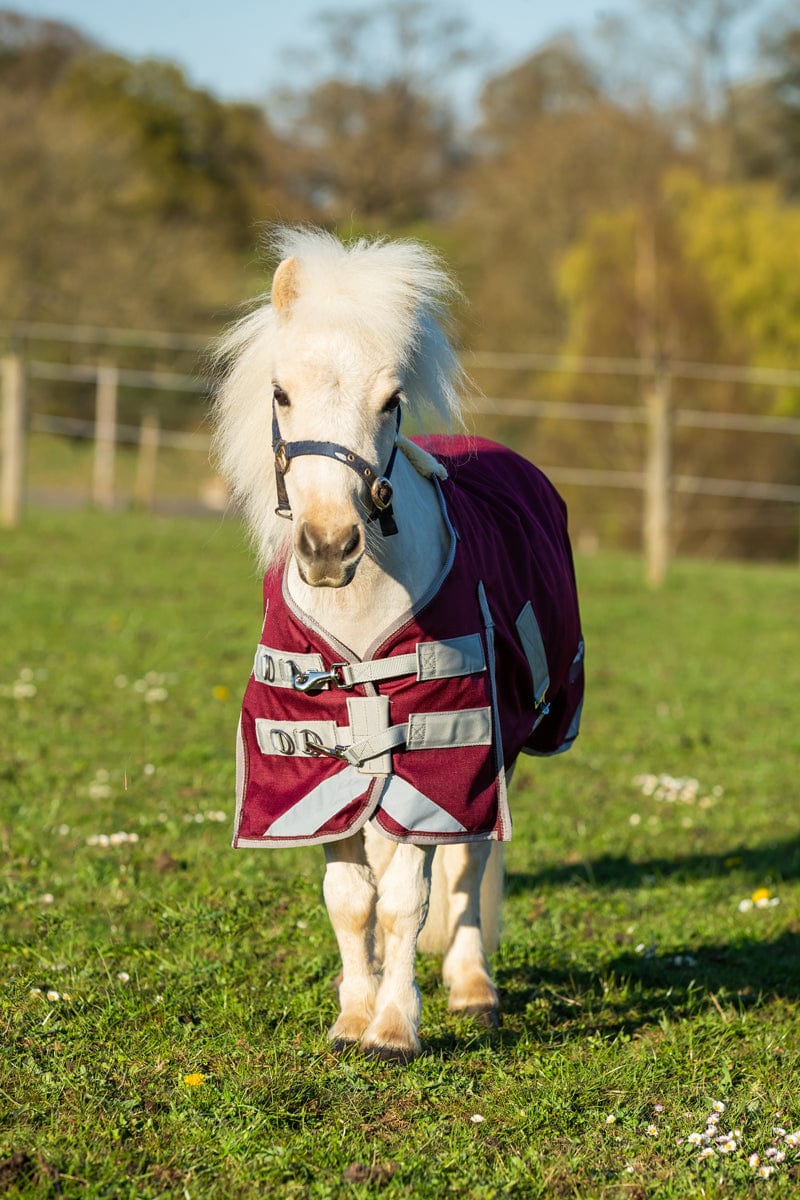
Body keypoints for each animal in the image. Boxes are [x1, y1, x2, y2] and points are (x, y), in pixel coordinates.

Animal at [212, 227, 584, 1063]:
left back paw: (473, 989)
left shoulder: (441, 757)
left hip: (495, 752)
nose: (327, 545)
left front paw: (392, 1026)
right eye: (281, 393)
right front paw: (352, 1017)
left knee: (465, 865)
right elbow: (351, 898)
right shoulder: (315, 765)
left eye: (391, 401)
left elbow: (408, 897)